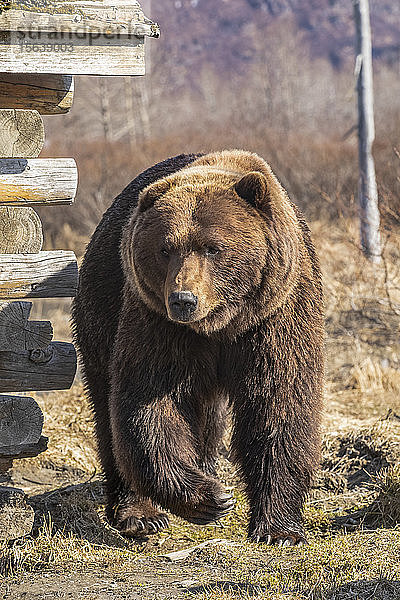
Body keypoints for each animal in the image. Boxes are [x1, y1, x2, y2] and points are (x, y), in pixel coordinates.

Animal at [72, 149, 324, 544]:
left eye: (213, 247)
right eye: (165, 248)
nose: (183, 300)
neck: (221, 324)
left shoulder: (276, 316)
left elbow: (278, 404)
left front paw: (278, 528)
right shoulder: (158, 322)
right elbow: (149, 404)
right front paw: (210, 498)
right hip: (102, 306)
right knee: (107, 405)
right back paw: (139, 513)